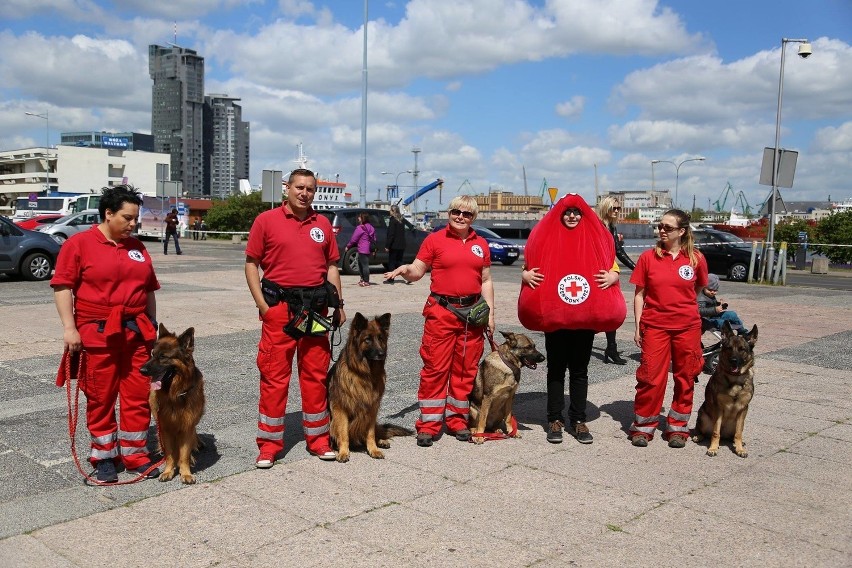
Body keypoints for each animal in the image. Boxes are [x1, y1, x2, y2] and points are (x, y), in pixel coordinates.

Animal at [141, 324, 206, 484]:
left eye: (163, 357)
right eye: (152, 354)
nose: (142, 370)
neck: (175, 394)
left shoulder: (187, 426)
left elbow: (184, 455)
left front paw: (186, 473)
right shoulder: (165, 428)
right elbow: (170, 454)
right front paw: (168, 471)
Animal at [328, 312, 412, 464]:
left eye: (380, 338)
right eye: (367, 339)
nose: (382, 354)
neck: (364, 374)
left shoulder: (372, 407)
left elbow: (370, 433)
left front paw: (373, 449)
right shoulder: (340, 408)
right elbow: (343, 433)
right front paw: (343, 452)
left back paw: (381, 441)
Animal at [692, 322, 760, 460]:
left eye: (742, 349)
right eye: (729, 348)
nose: (733, 360)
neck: (735, 380)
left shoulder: (743, 408)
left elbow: (738, 434)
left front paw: (740, 449)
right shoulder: (719, 408)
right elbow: (715, 432)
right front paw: (712, 448)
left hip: (738, 422)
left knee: (735, 434)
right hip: (703, 415)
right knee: (703, 430)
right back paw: (698, 436)